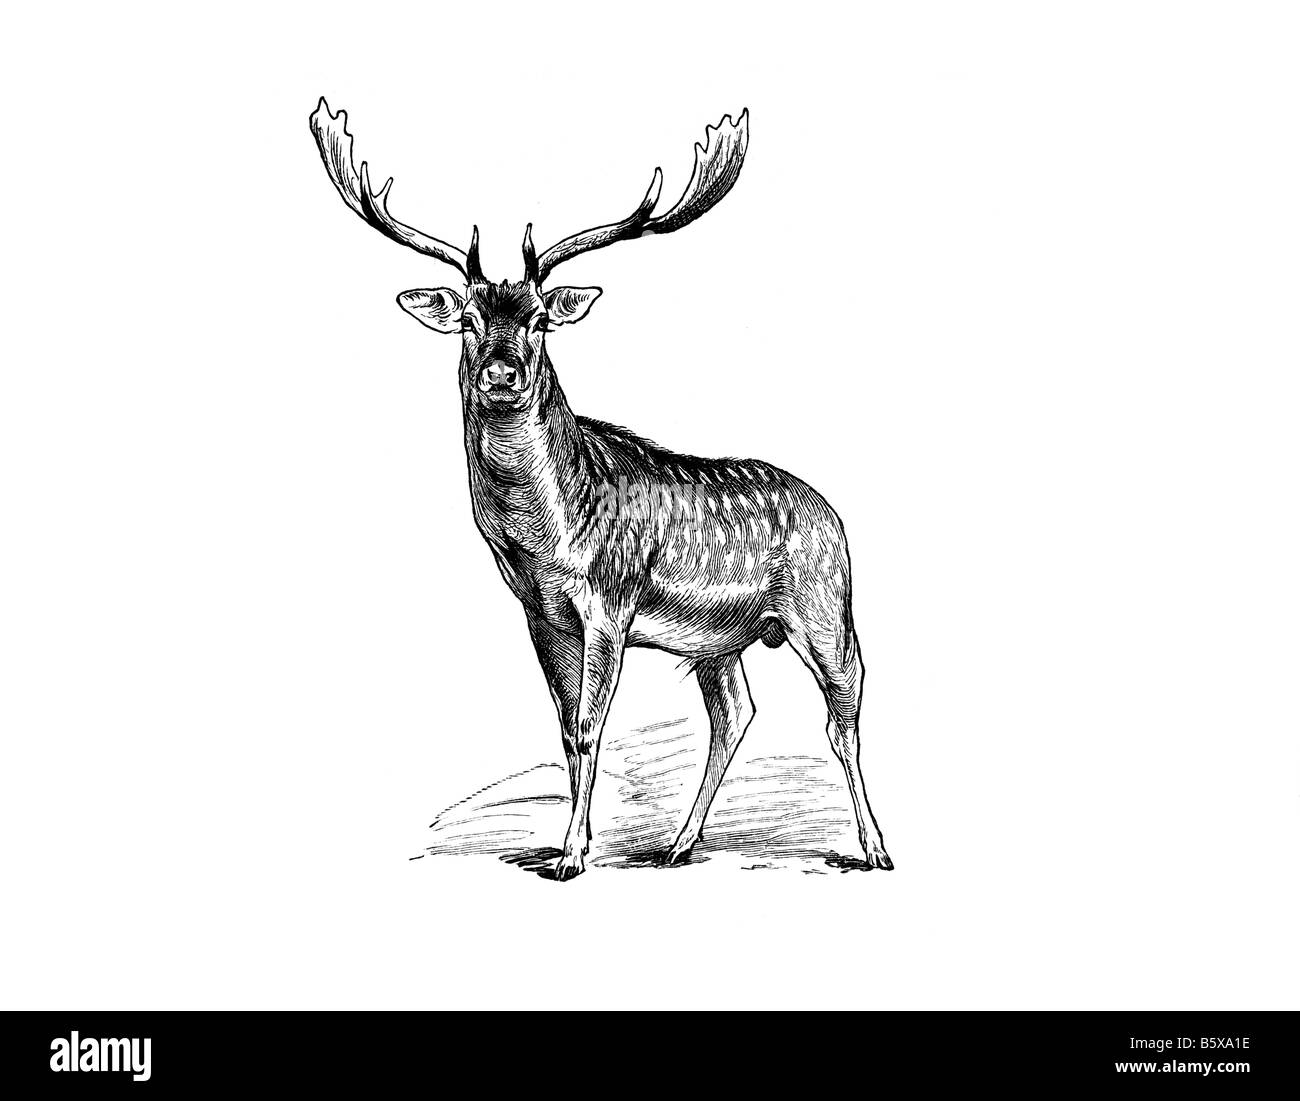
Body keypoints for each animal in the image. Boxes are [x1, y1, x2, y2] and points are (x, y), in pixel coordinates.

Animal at [309, 98, 894, 880]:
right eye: (468, 319)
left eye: (538, 319)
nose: (501, 373)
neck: (547, 537)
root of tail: (832, 513)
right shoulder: (540, 612)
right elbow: (566, 728)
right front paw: (570, 843)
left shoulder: (610, 604)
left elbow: (590, 725)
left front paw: (571, 855)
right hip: (721, 642)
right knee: (735, 713)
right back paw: (679, 843)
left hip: (826, 606)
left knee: (845, 713)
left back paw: (875, 847)